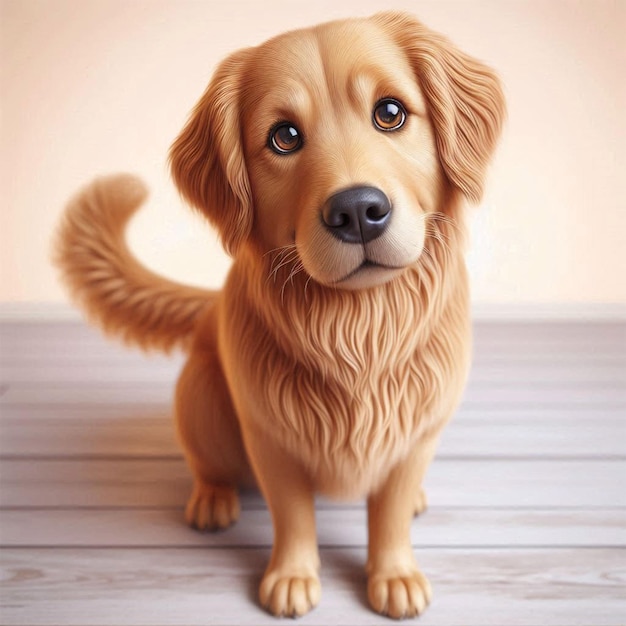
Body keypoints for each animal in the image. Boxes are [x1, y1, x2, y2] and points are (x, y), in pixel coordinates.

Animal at [53, 11, 502, 620]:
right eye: (284, 137)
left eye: (390, 112)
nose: (357, 210)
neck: (360, 328)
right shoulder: (272, 438)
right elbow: (292, 514)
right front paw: (292, 577)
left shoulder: (416, 434)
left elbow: (388, 510)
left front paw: (394, 574)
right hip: (202, 401)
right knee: (208, 463)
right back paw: (212, 499)